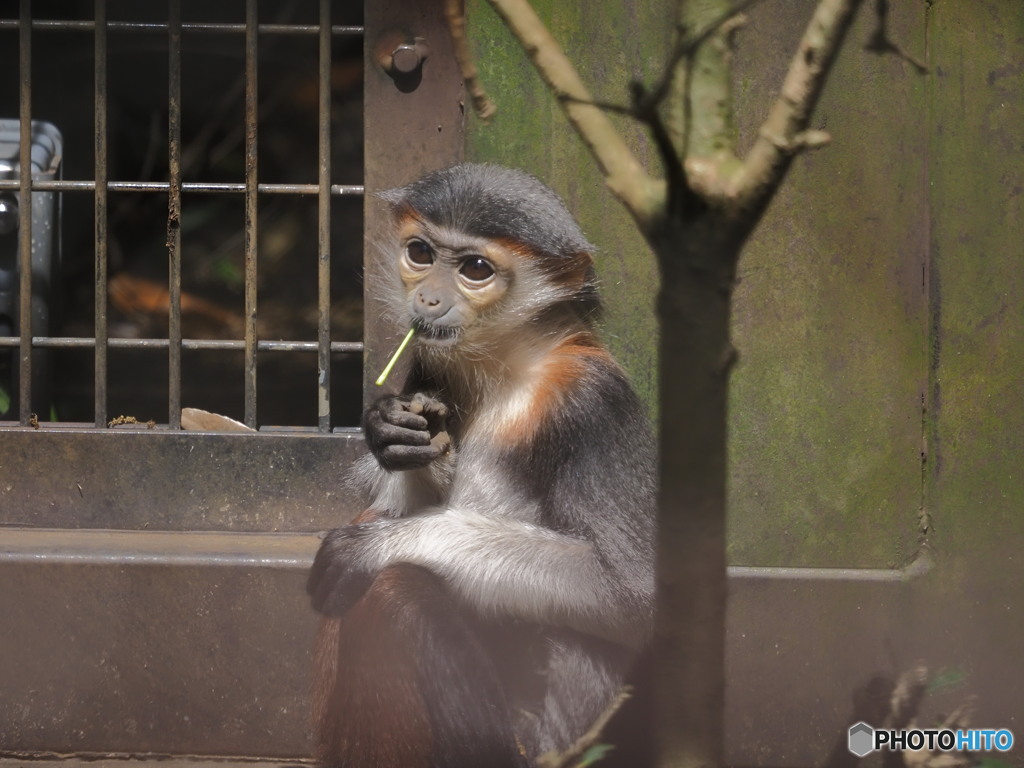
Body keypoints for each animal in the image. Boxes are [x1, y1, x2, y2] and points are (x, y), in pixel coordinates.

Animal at [305, 165, 655, 765]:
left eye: (475, 269)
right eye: (420, 253)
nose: (427, 298)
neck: (510, 365)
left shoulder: (590, 398)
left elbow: (636, 592)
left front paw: (376, 547)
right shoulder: (428, 364)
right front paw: (391, 431)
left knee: (394, 592)